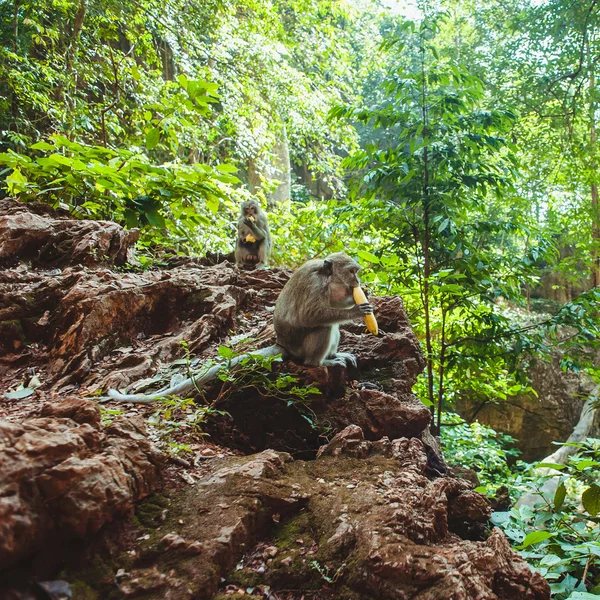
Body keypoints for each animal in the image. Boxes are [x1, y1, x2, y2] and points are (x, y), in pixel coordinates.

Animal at [105, 251, 372, 406]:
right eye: (352, 271)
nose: (358, 281)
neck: (328, 278)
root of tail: (282, 344)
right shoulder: (315, 284)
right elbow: (311, 315)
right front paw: (356, 310)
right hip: (300, 346)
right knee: (322, 329)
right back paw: (320, 362)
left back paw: (335, 355)